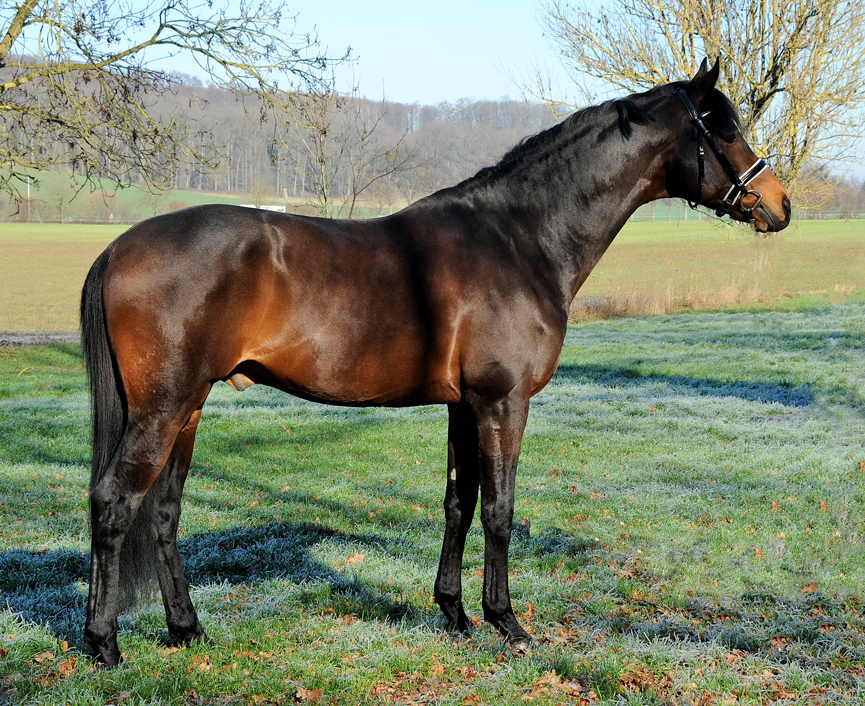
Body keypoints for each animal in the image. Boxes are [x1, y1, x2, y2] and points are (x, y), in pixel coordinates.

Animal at [81, 57, 788, 664]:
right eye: (724, 127)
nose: (779, 204)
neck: (519, 239)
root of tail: (117, 247)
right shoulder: (503, 401)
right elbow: (500, 510)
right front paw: (508, 623)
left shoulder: (464, 405)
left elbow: (459, 503)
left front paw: (454, 613)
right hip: (164, 407)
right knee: (115, 502)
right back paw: (105, 644)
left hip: (189, 407)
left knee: (164, 511)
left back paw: (186, 629)